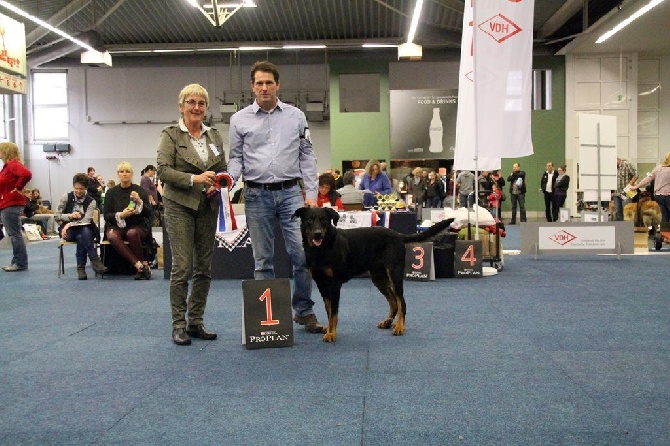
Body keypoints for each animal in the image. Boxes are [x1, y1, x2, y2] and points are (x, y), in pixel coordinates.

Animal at [296, 207, 456, 344]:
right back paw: (388, 322)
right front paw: (329, 329)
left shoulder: (335, 284)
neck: (321, 249)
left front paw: (331, 334)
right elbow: (329, 310)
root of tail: (399, 236)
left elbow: (334, 313)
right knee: (393, 301)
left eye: (324, 220)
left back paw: (400, 327)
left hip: (394, 273)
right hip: (378, 277)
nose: (317, 233)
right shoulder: (321, 283)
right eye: (309, 220)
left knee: (401, 301)